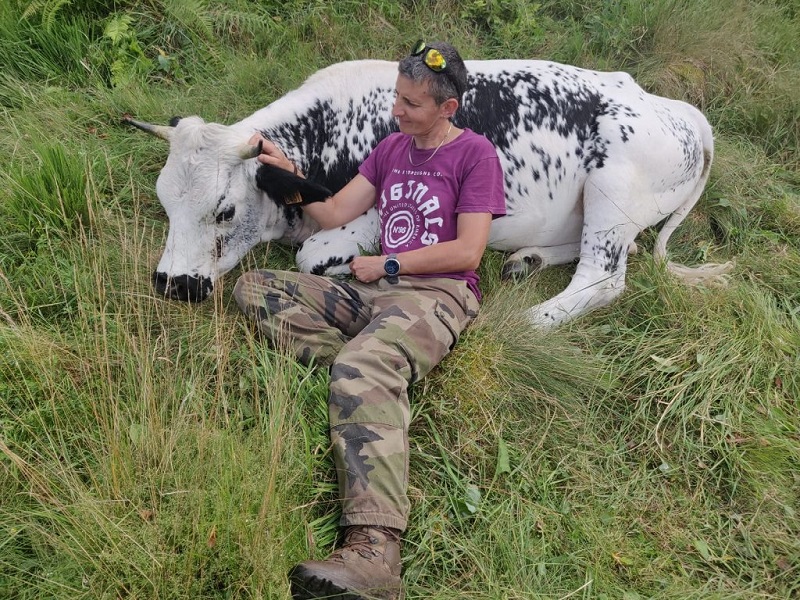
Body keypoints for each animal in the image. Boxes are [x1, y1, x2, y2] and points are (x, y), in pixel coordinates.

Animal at [125, 58, 732, 326]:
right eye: (164, 202)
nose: (173, 284)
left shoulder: (374, 216)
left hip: (611, 184)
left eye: (225, 211)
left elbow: (314, 255)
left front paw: (351, 268)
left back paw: (530, 320)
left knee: (604, 276)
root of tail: (679, 110)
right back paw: (527, 259)